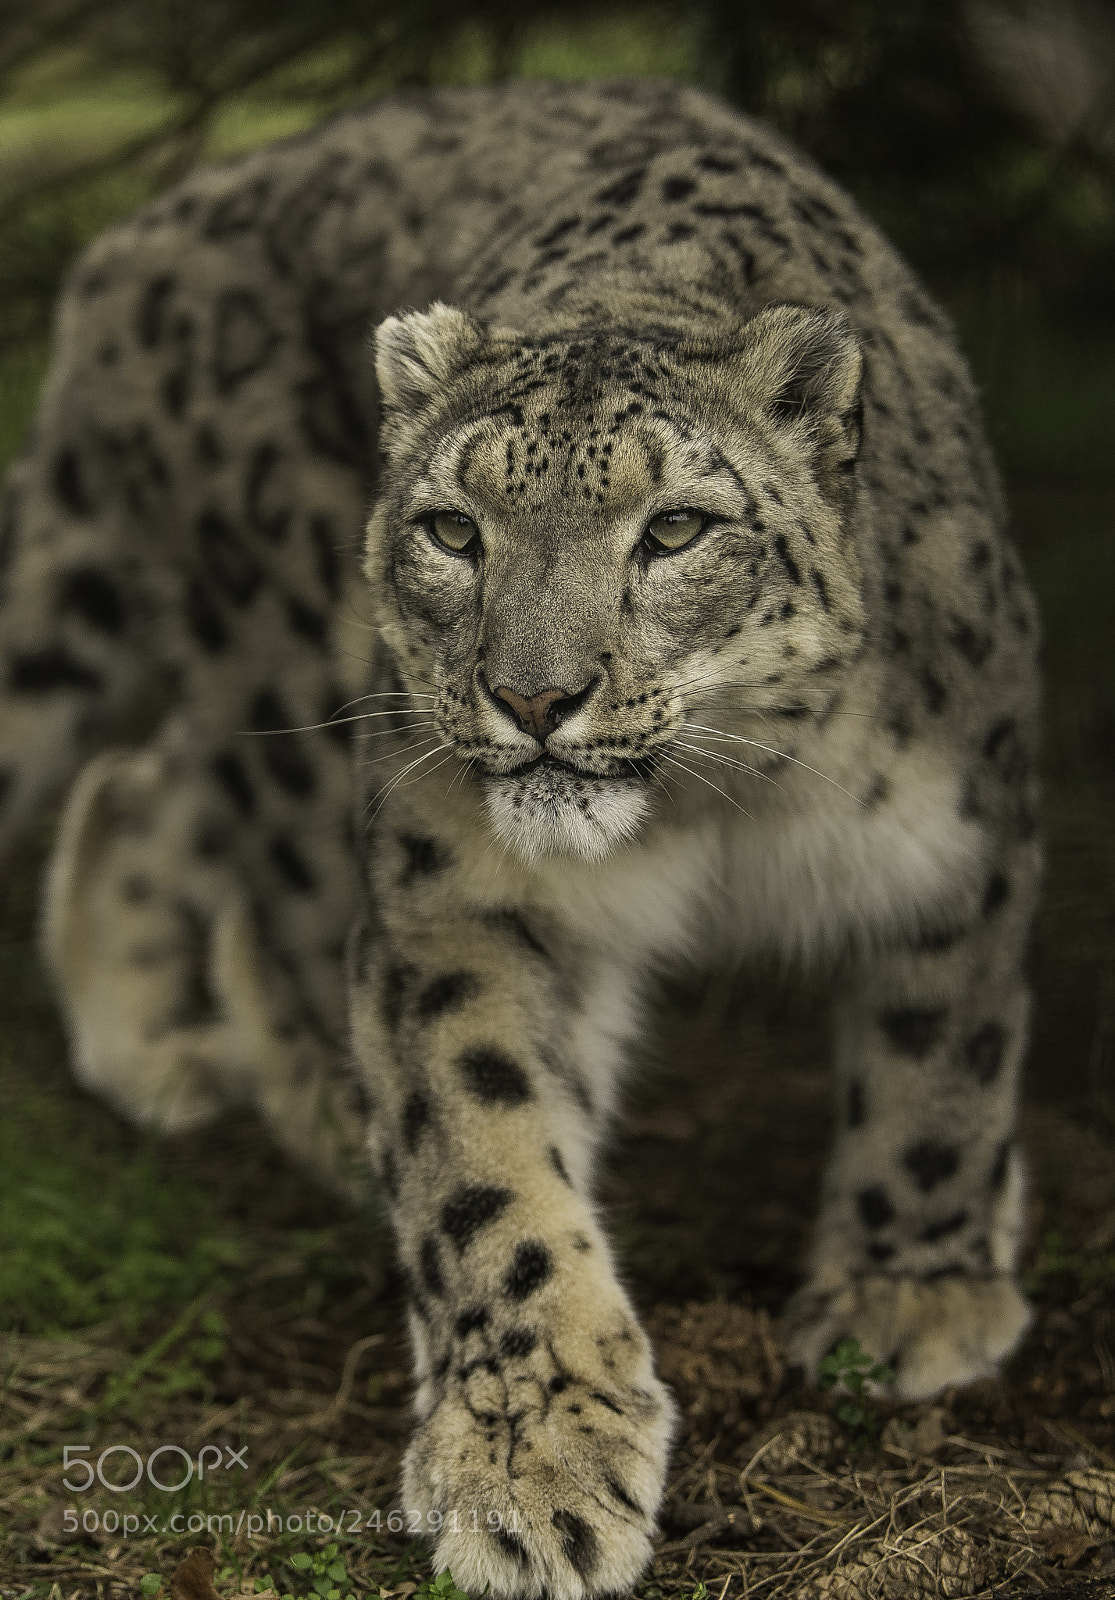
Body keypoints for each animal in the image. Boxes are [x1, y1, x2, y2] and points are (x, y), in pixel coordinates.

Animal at [0, 78, 1041, 1600]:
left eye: (674, 527)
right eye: (451, 527)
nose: (534, 697)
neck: (716, 810)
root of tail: (128, 243)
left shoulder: (956, 831)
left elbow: (940, 1059)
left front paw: (912, 1293)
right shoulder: (458, 899)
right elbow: (484, 1160)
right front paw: (527, 1461)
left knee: (139, 780)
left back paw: (159, 1055)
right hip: (294, 689)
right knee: (242, 857)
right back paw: (304, 1101)